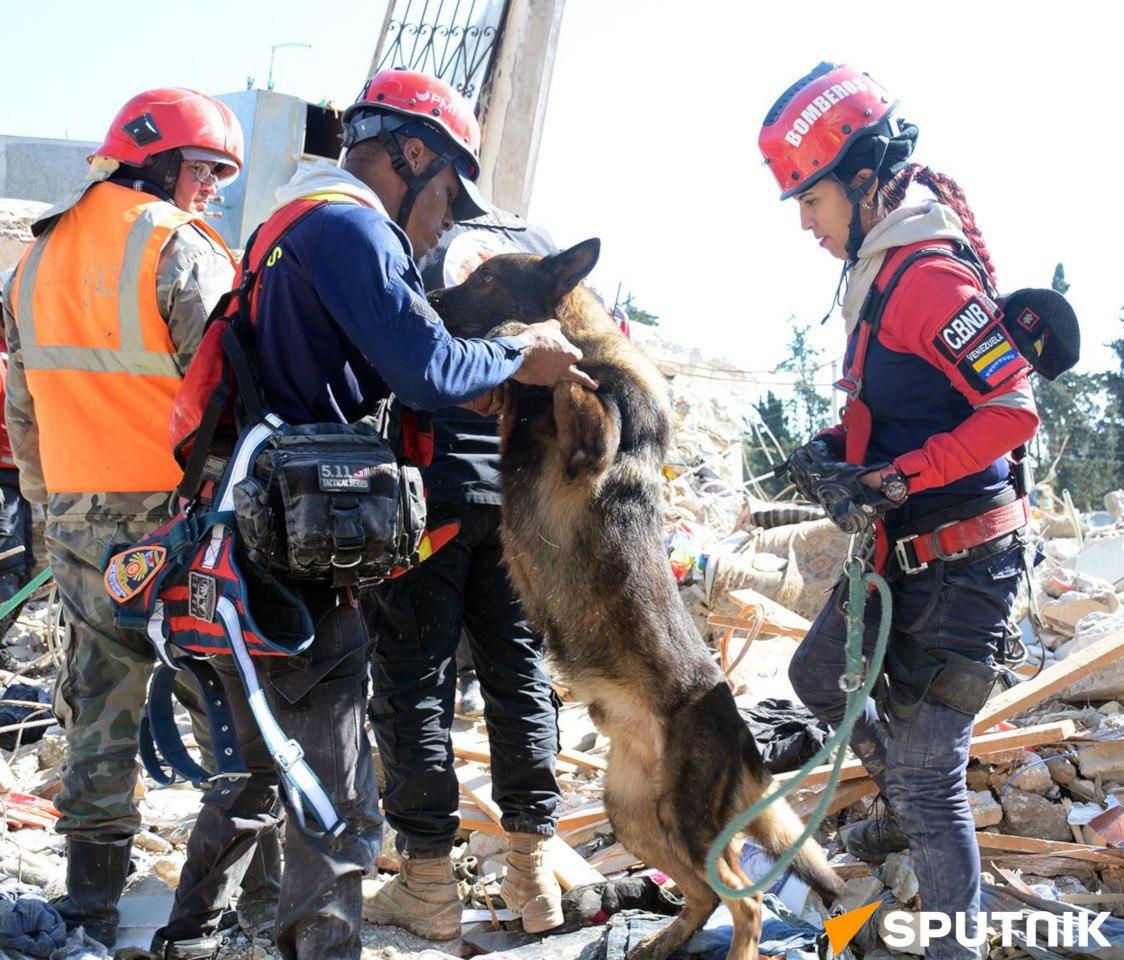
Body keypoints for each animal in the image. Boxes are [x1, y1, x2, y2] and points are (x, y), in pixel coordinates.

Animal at [424, 240, 840, 960]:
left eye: (487, 276)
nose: (430, 299)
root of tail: (744, 737)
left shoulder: (593, 443)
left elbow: (571, 374)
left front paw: (534, 338)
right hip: (636, 816)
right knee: (705, 893)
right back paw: (665, 941)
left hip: (685, 817)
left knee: (745, 898)